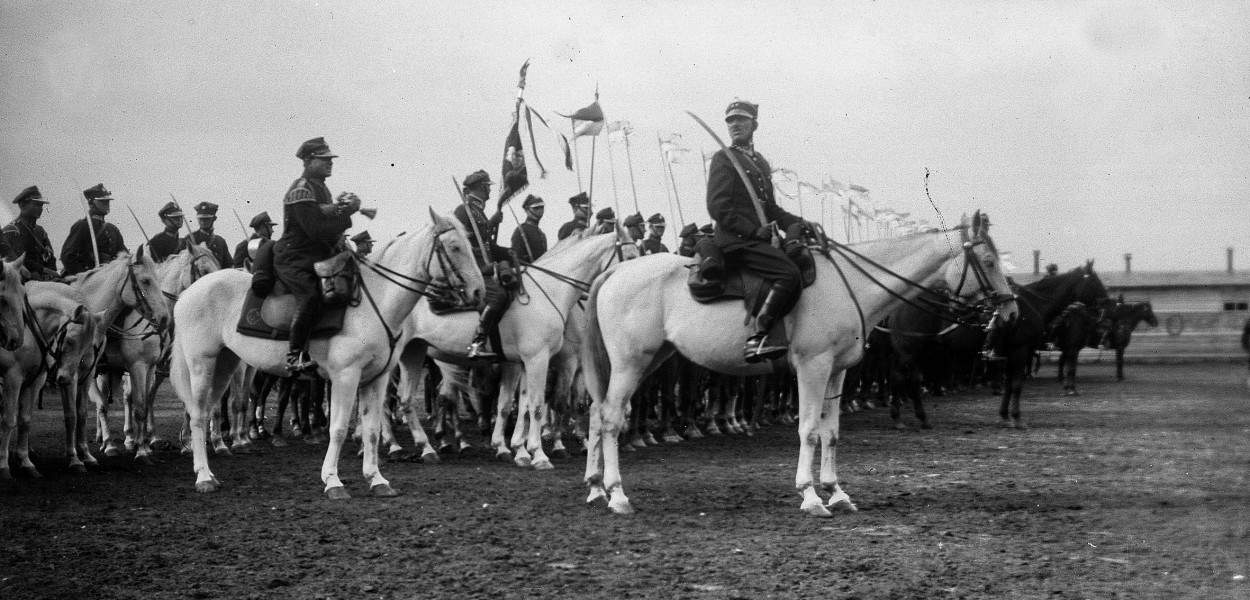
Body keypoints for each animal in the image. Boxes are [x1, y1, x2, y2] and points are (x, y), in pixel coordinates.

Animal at [173, 211, 485, 497]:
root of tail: (188, 293)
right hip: (202, 363)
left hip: (225, 364)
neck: (375, 301)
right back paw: (203, 476)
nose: (478, 292)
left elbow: (372, 429)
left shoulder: (377, 378)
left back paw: (212, 465)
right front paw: (333, 481)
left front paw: (377, 479)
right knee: (198, 414)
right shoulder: (346, 377)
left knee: (208, 409)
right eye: (455, 247)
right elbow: (338, 428)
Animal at [395, 225, 640, 470]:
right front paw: (540, 453)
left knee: (408, 398)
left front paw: (516, 449)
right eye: (630, 257)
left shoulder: (523, 363)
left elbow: (518, 406)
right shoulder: (542, 360)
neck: (549, 291)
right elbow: (539, 405)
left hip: (415, 353)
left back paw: (428, 448)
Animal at [580, 213, 1010, 517]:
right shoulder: (812, 367)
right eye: (988, 260)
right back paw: (617, 494)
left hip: (651, 360)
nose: (1010, 313)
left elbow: (831, 433)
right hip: (631, 363)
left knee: (598, 413)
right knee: (612, 418)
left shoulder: (837, 371)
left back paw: (596, 486)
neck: (850, 284)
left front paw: (836, 492)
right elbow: (809, 430)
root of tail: (618, 269)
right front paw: (810, 495)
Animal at [990, 261, 1110, 427]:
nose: (1108, 301)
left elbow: (1010, 384)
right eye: (1095, 281)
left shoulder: (1011, 352)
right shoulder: (1022, 351)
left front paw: (1004, 415)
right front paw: (1016, 417)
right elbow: (1017, 384)